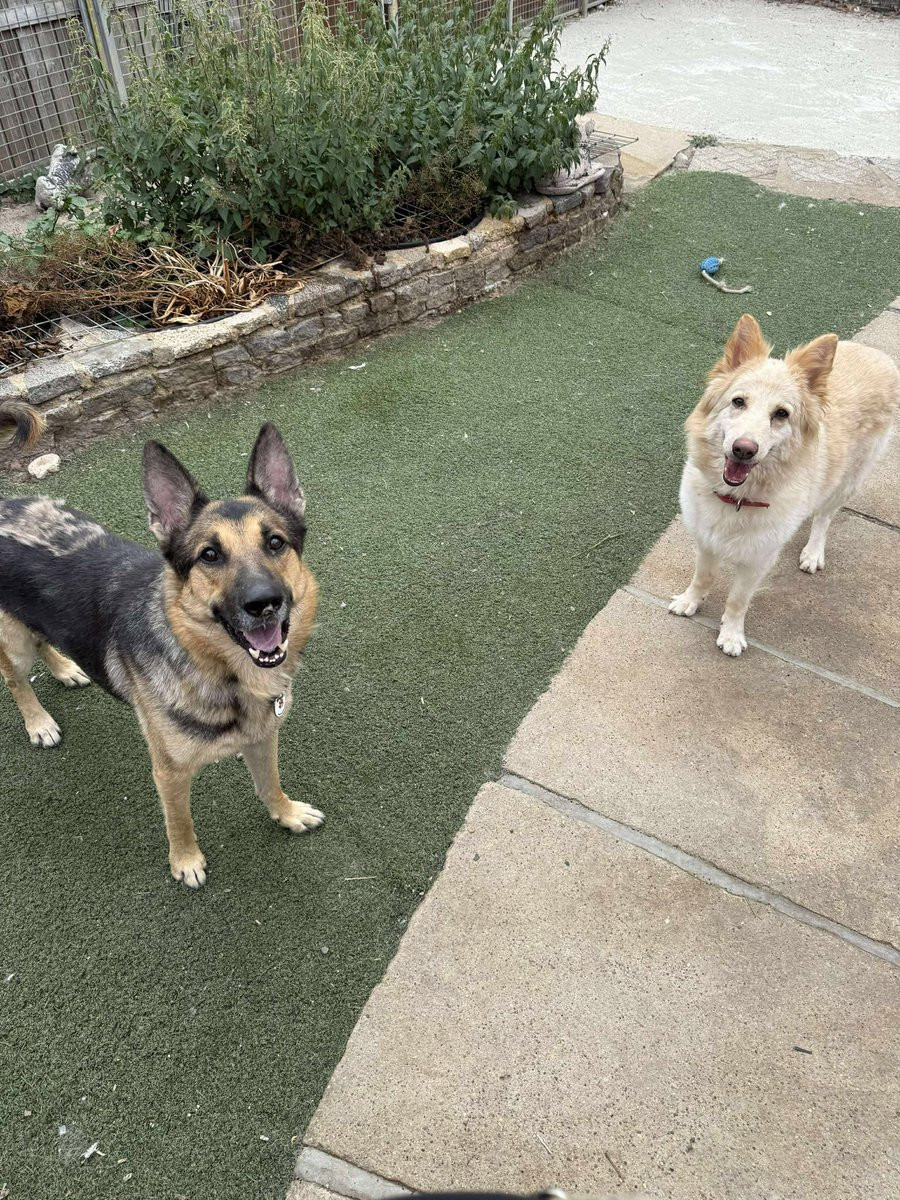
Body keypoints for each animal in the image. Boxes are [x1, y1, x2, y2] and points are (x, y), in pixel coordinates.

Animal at [0, 404, 321, 886]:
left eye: (275, 543)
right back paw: (39, 723)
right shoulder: (170, 771)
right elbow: (179, 820)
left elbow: (270, 784)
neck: (213, 667)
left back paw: (65, 668)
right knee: (17, 679)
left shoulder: (264, 737)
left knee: (43, 641)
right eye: (209, 555)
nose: (264, 604)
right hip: (13, 642)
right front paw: (185, 862)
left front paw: (286, 814)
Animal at [670, 313, 900, 656]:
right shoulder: (706, 540)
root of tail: (879, 355)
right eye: (738, 402)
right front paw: (690, 601)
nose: (743, 449)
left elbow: (738, 600)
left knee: (824, 517)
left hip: (848, 481)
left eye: (781, 414)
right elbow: (703, 577)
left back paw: (813, 552)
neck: (737, 498)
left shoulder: (758, 561)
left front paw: (732, 634)